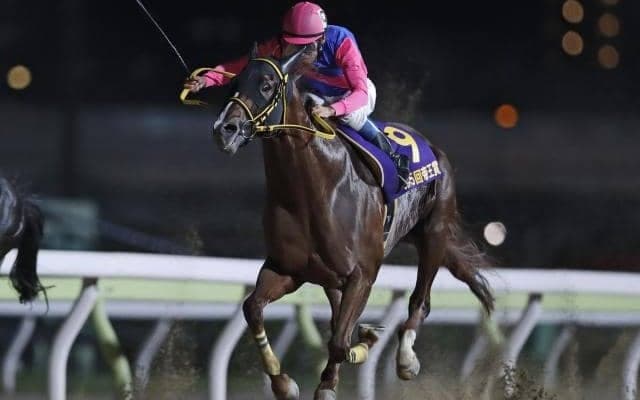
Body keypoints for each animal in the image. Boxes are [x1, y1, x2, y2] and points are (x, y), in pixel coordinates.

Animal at [210, 45, 495, 400]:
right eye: (234, 81)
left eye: (266, 85)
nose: (225, 129)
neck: (312, 189)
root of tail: (432, 146)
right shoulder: (286, 268)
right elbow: (253, 309)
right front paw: (283, 383)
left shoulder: (362, 274)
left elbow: (339, 342)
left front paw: (336, 374)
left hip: (434, 233)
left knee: (419, 300)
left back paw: (405, 358)